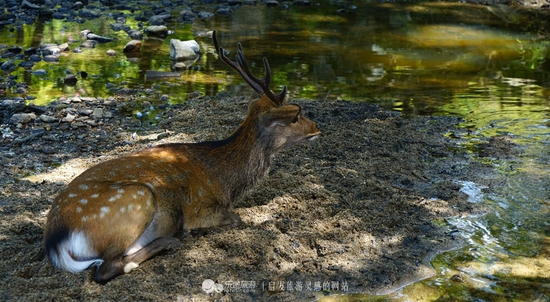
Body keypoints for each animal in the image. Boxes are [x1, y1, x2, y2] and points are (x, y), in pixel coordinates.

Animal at [45, 30, 322, 284]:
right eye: (296, 116)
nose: (317, 127)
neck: (227, 183)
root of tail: (55, 241)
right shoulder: (202, 208)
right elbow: (237, 217)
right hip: (136, 197)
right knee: (106, 268)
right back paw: (171, 240)